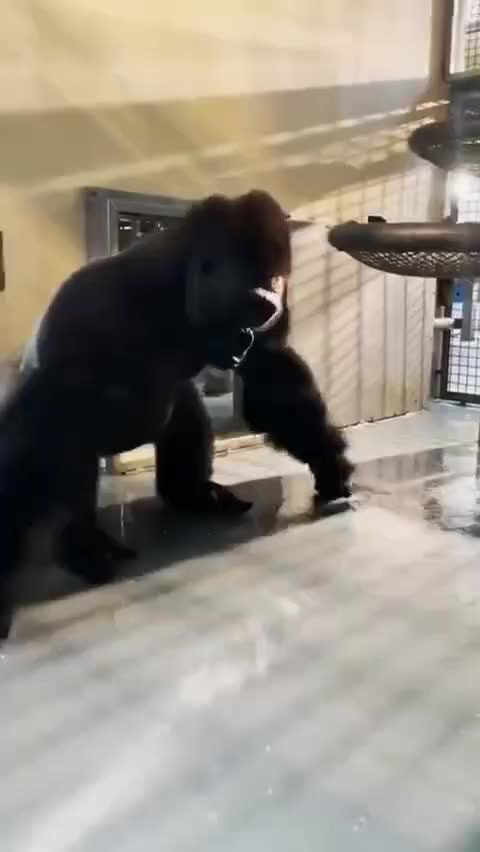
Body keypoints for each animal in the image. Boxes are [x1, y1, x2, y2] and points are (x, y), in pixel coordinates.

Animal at [0, 189, 353, 638]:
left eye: (272, 294)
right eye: (250, 304)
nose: (244, 339)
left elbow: (273, 377)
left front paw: (328, 463)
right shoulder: (94, 308)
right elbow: (46, 426)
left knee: (183, 416)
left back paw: (191, 494)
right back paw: (82, 541)